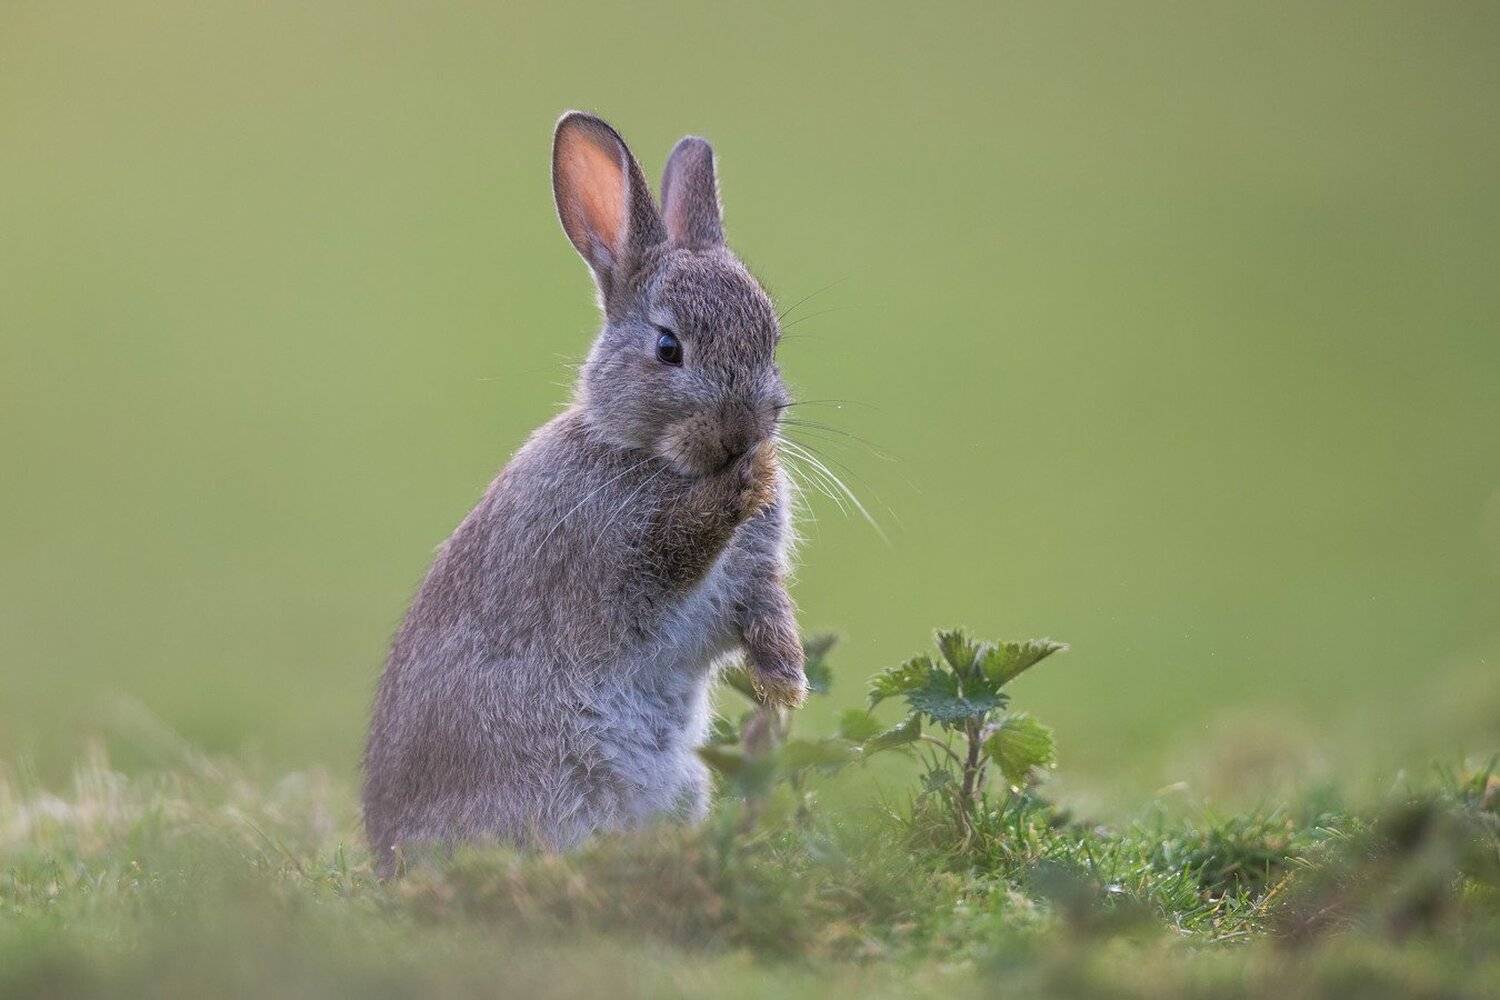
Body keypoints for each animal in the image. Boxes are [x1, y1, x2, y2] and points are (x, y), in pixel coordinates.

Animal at [362, 112, 806, 876]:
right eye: (668, 349)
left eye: (771, 340)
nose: (744, 437)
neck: (652, 455)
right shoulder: (618, 554)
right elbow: (678, 548)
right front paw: (742, 485)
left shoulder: (752, 579)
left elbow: (764, 608)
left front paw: (786, 682)